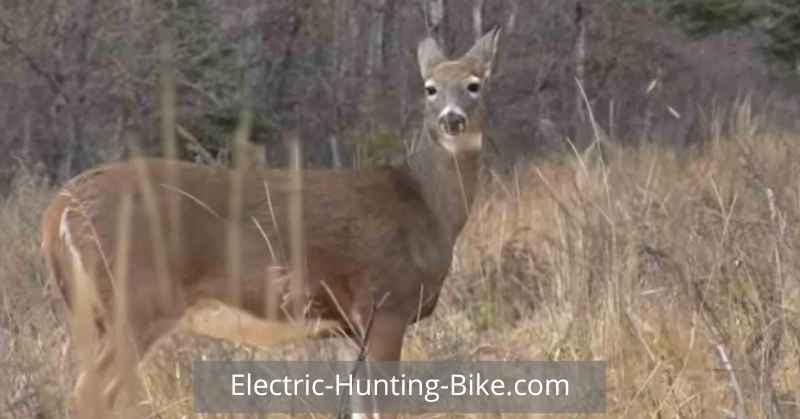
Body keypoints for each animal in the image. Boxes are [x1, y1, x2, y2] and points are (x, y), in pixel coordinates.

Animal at [40, 27, 500, 418]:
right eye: (430, 88)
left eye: (475, 84)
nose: (452, 119)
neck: (429, 207)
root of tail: (60, 207)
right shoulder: (387, 302)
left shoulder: (349, 326)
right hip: (136, 298)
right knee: (88, 393)